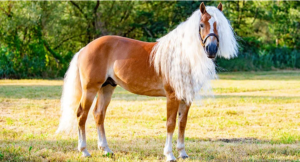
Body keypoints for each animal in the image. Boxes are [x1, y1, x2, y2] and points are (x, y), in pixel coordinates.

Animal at [56, 1, 237, 161]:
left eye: (219, 25)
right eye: (201, 25)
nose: (211, 49)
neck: (180, 55)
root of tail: (85, 48)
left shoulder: (186, 98)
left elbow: (182, 124)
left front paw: (183, 153)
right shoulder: (172, 96)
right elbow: (171, 123)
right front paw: (170, 155)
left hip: (107, 87)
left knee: (99, 114)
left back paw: (106, 150)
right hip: (90, 89)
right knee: (81, 114)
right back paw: (84, 151)